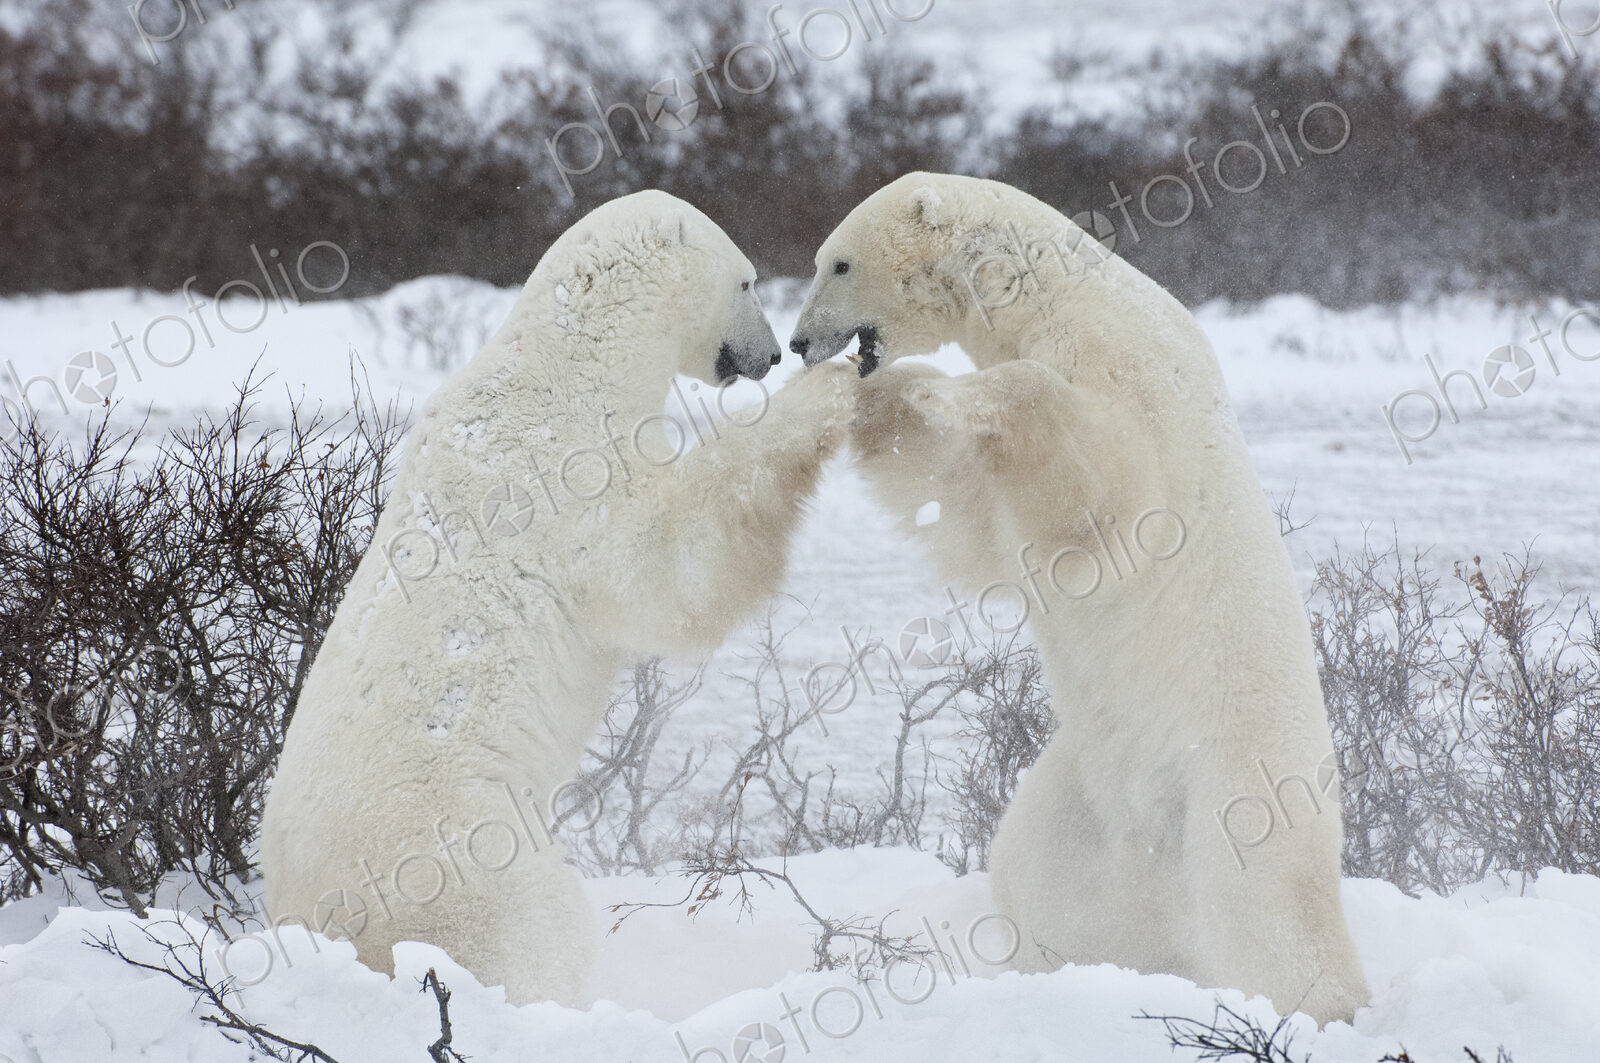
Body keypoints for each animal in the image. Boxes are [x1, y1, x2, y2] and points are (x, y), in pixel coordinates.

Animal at [259, 190, 857, 1006]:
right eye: (747, 282)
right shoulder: (567, 478)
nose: (770, 355)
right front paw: (826, 395)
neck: (570, 364)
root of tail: (311, 912)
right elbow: (668, 566)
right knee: (530, 931)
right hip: (457, 850)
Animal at [786, 172, 1370, 1024]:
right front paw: (879, 402)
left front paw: (951, 393)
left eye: (838, 262)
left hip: (1238, 782)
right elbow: (973, 513)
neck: (1054, 293)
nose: (798, 344)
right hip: (1081, 795)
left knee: (1265, 905)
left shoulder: (1131, 375)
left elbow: (1097, 491)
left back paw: (1322, 1005)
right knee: (1036, 871)